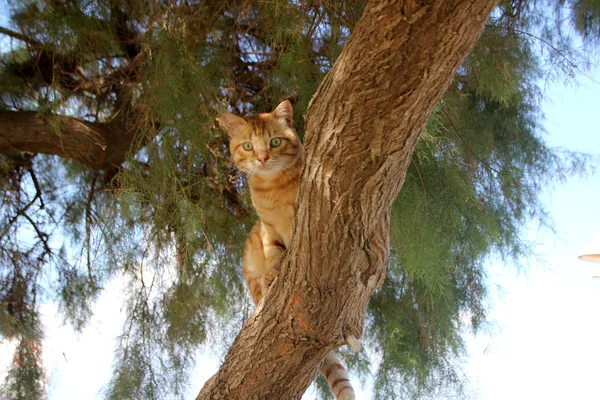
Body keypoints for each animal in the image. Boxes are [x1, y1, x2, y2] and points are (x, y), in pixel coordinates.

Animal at [221, 101, 356, 400]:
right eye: (248, 146)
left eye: (275, 141)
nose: (262, 158)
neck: (272, 188)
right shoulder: (268, 230)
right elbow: (274, 252)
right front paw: (274, 272)